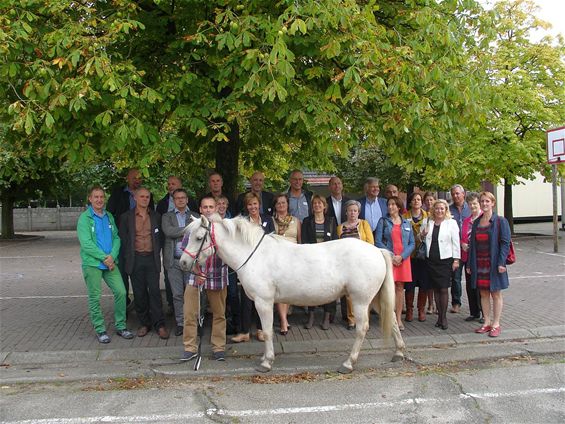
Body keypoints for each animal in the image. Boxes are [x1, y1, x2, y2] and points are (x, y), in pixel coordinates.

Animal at [178, 214, 404, 372]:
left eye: (199, 237)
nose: (183, 263)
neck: (254, 255)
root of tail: (376, 251)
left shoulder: (263, 302)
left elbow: (267, 331)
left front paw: (266, 363)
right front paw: (265, 358)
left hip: (360, 301)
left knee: (362, 329)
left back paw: (348, 363)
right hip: (374, 299)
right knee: (392, 319)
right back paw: (399, 353)